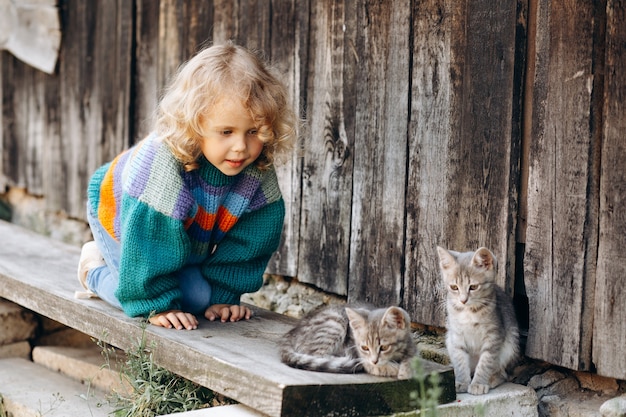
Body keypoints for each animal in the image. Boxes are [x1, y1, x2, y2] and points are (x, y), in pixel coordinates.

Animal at [280, 302, 416, 376]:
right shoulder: (364, 357)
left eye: (384, 347)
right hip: (334, 323)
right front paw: (397, 370)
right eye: (364, 348)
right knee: (316, 354)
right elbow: (381, 367)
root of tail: (292, 333)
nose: (374, 361)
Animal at [434, 245, 516, 394]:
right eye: (454, 287)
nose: (463, 300)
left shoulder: (494, 336)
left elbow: (486, 362)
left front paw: (478, 383)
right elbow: (460, 360)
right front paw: (461, 381)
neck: (469, 311)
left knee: (503, 373)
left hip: (510, 344)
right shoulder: (456, 336)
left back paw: (492, 379)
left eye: (473, 287)